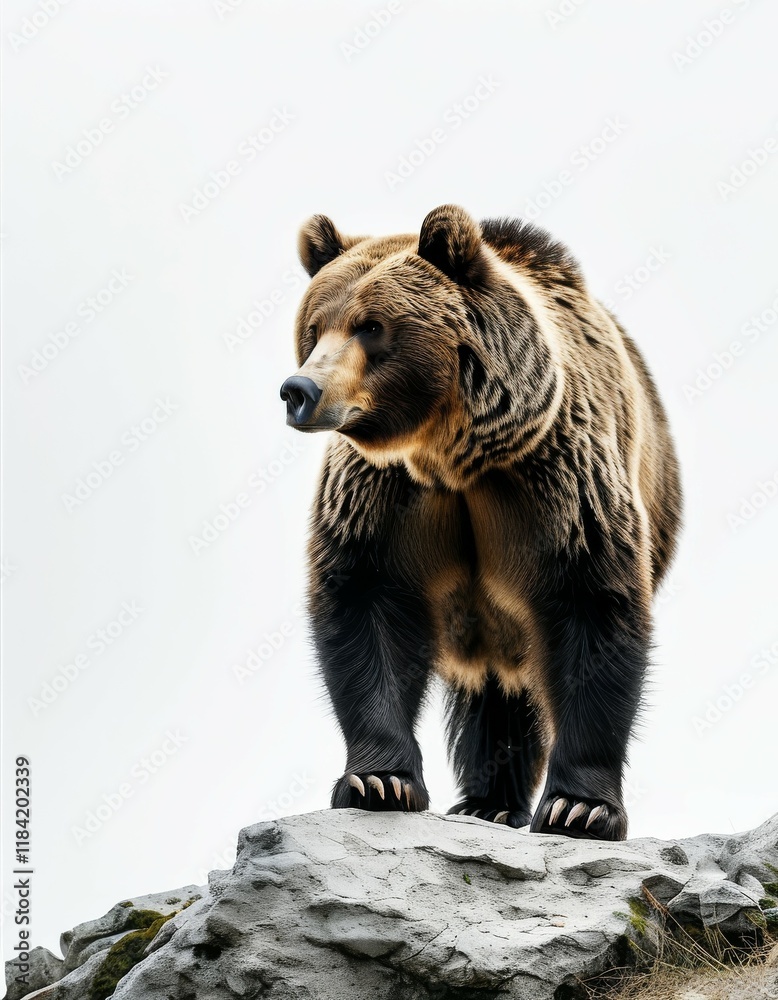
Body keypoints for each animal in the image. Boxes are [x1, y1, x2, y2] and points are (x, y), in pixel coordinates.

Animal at [280, 205, 681, 840]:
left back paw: (495, 801)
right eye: (314, 327)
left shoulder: (555, 479)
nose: (300, 390)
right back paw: (484, 801)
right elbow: (366, 605)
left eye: (371, 326)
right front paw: (378, 781)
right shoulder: (384, 494)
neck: (451, 453)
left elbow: (592, 605)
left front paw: (580, 809)